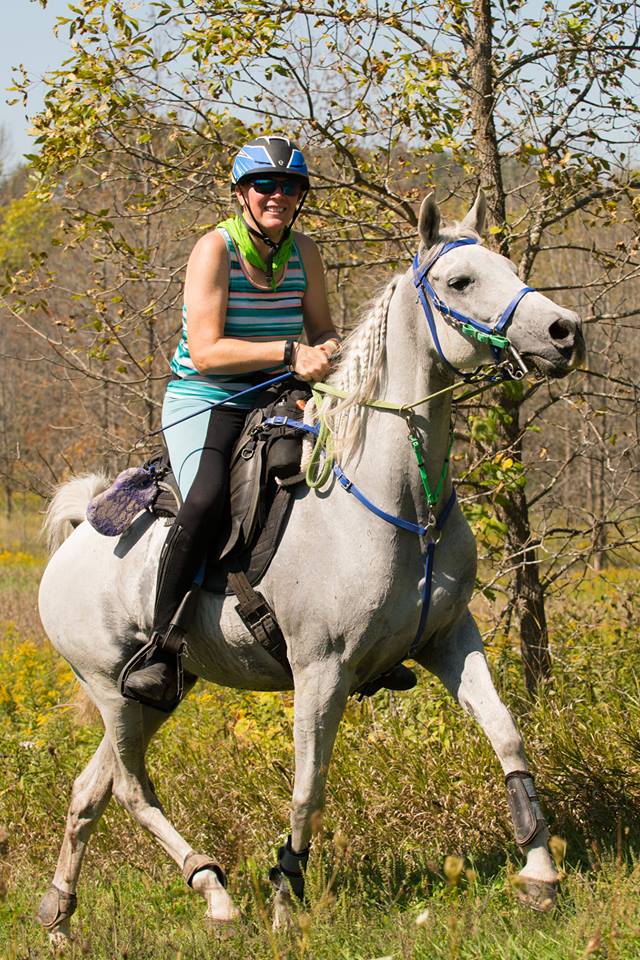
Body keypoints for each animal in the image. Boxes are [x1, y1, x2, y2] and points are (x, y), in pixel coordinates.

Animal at [36, 191, 584, 943]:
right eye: (460, 281)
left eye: (508, 267)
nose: (564, 332)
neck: (394, 497)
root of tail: (76, 536)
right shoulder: (322, 669)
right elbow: (307, 788)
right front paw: (285, 900)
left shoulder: (450, 638)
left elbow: (508, 736)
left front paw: (539, 873)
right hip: (112, 688)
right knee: (129, 786)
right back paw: (216, 893)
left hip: (162, 691)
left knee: (92, 788)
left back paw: (64, 912)